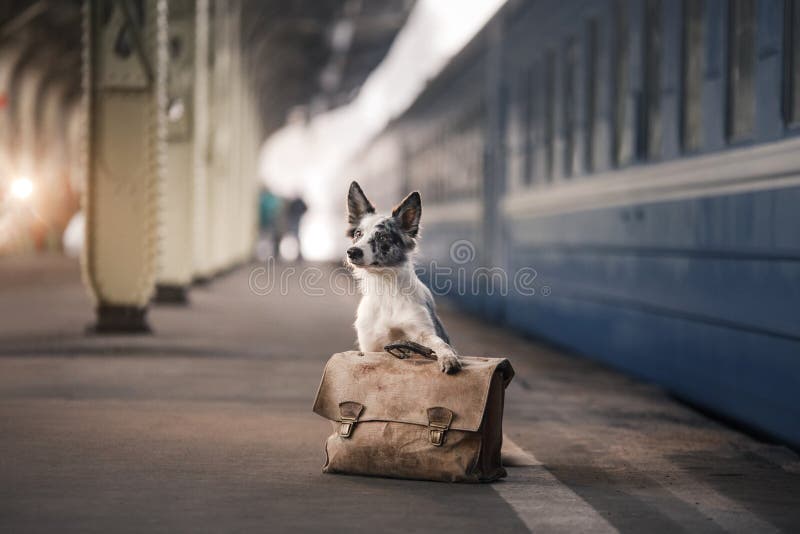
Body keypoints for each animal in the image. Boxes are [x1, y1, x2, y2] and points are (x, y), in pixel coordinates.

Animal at [346, 182, 462, 374]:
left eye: (383, 237)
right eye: (358, 234)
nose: (352, 252)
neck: (385, 287)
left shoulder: (423, 330)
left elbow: (440, 345)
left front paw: (448, 358)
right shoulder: (370, 343)